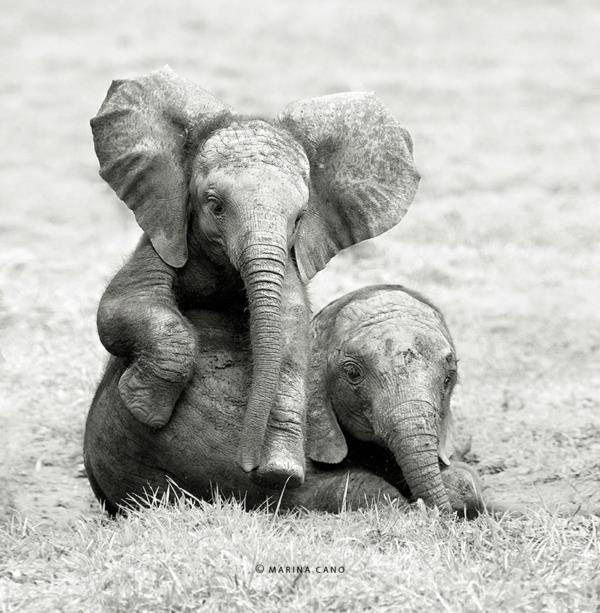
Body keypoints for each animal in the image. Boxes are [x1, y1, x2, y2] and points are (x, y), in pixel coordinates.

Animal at [83, 284, 488, 512]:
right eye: (353, 374)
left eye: (449, 377)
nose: (435, 515)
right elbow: (330, 490)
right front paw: (408, 509)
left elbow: (464, 481)